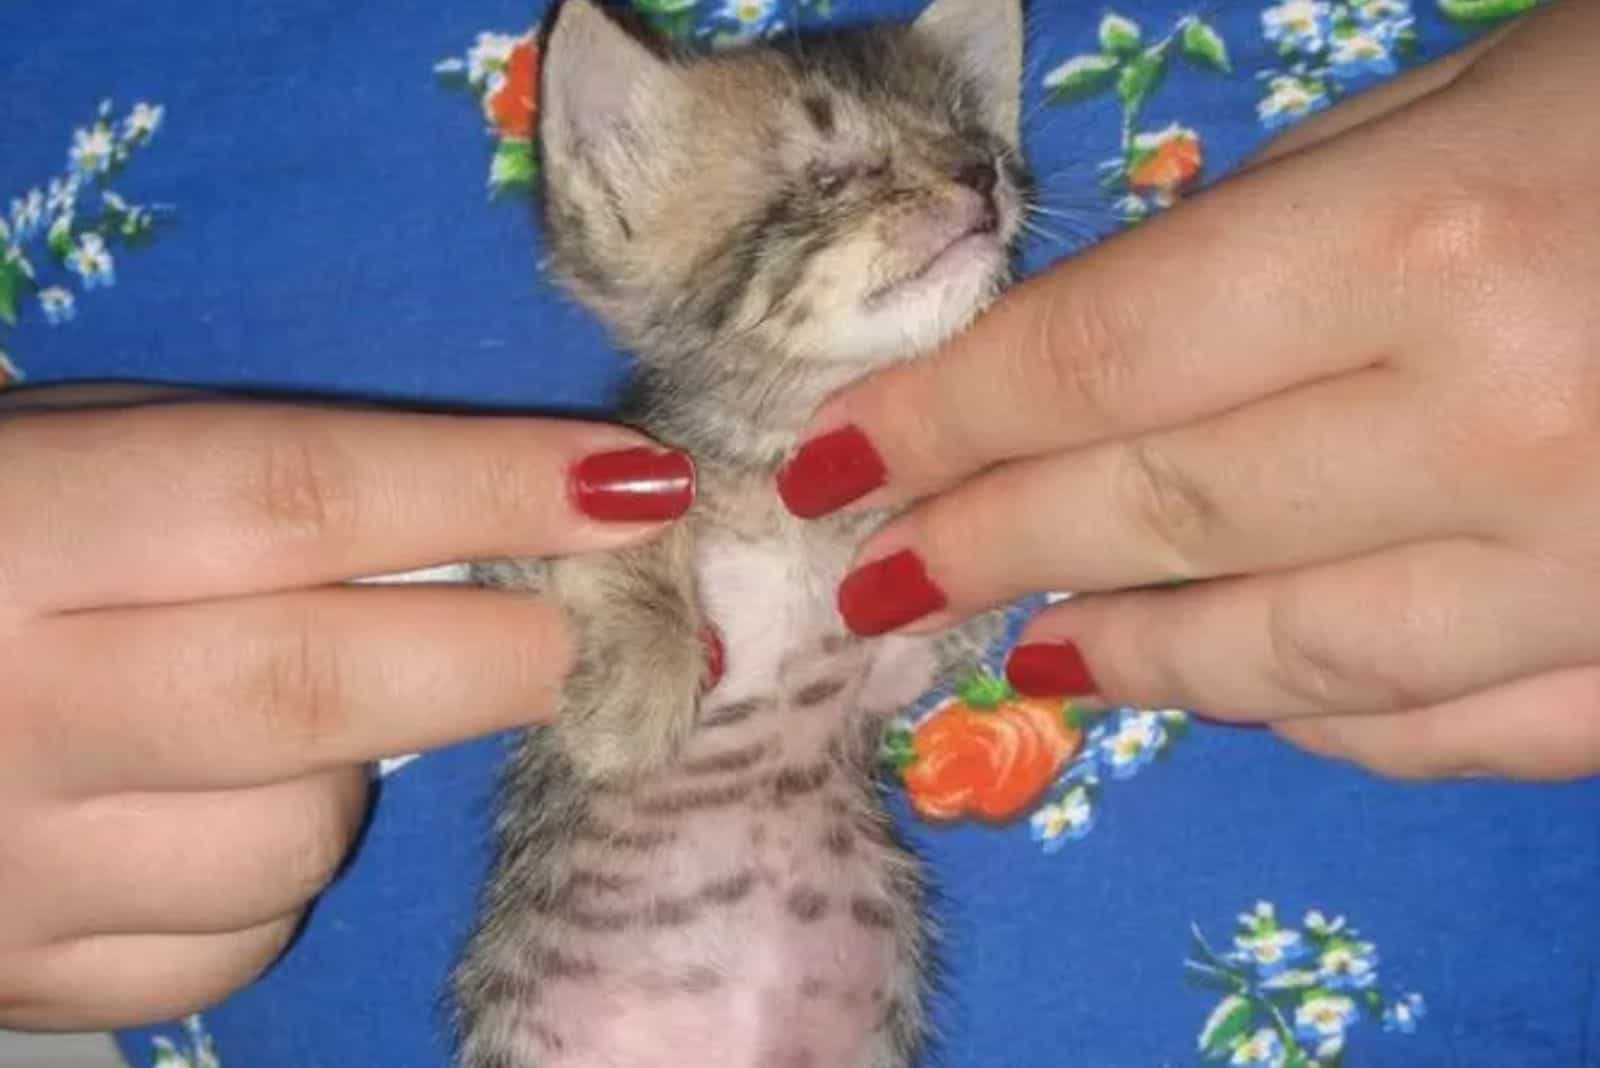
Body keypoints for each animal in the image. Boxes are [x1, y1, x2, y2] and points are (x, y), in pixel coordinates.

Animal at [451, 4, 1024, 1061]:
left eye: (974, 136)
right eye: (832, 174)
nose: (982, 174)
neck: (795, 454)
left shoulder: (886, 664)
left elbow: (915, 628)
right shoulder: (538, 515)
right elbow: (631, 537)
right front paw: (637, 689)